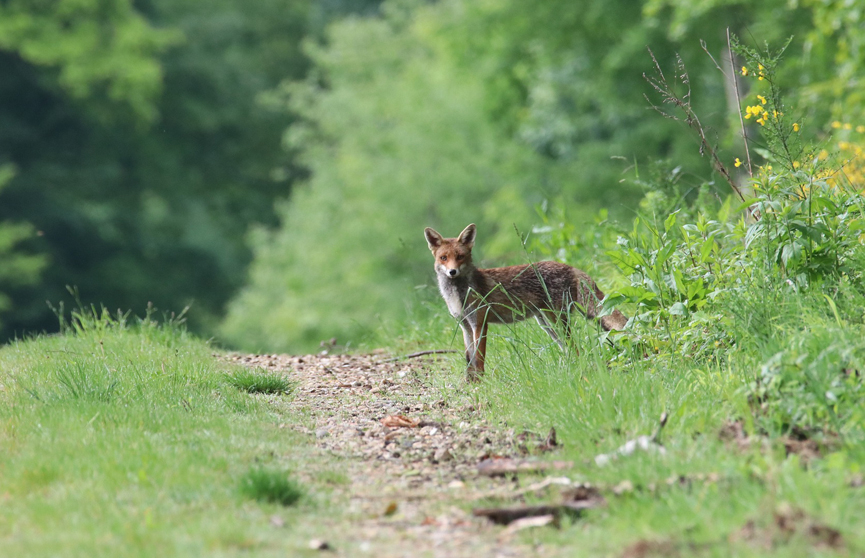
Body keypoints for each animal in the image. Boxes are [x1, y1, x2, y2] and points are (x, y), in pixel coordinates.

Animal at [424, 223, 628, 381]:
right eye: (443, 258)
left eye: (460, 257)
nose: (452, 272)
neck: (458, 295)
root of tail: (570, 267)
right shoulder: (465, 326)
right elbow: (469, 360)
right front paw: (470, 383)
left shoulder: (480, 323)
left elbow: (479, 360)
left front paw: (481, 384)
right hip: (547, 324)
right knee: (571, 349)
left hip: (556, 321)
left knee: (576, 348)